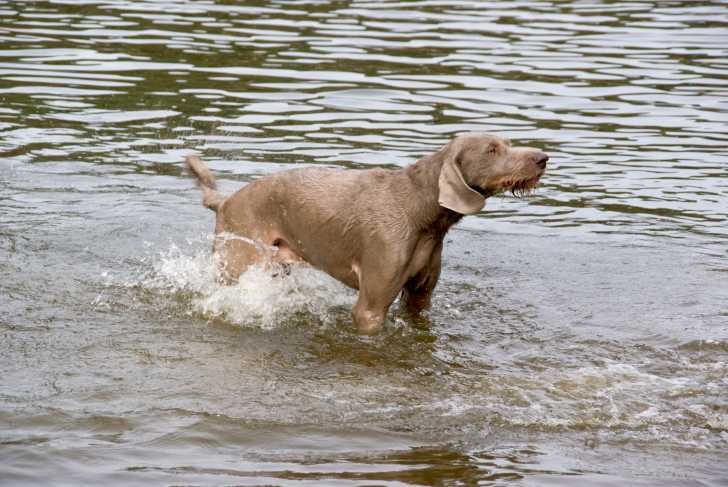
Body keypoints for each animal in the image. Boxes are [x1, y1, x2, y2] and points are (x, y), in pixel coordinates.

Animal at [186, 133, 547, 334]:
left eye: (509, 144)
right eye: (492, 150)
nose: (543, 157)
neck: (421, 210)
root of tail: (224, 200)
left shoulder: (420, 297)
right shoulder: (371, 304)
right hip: (237, 262)